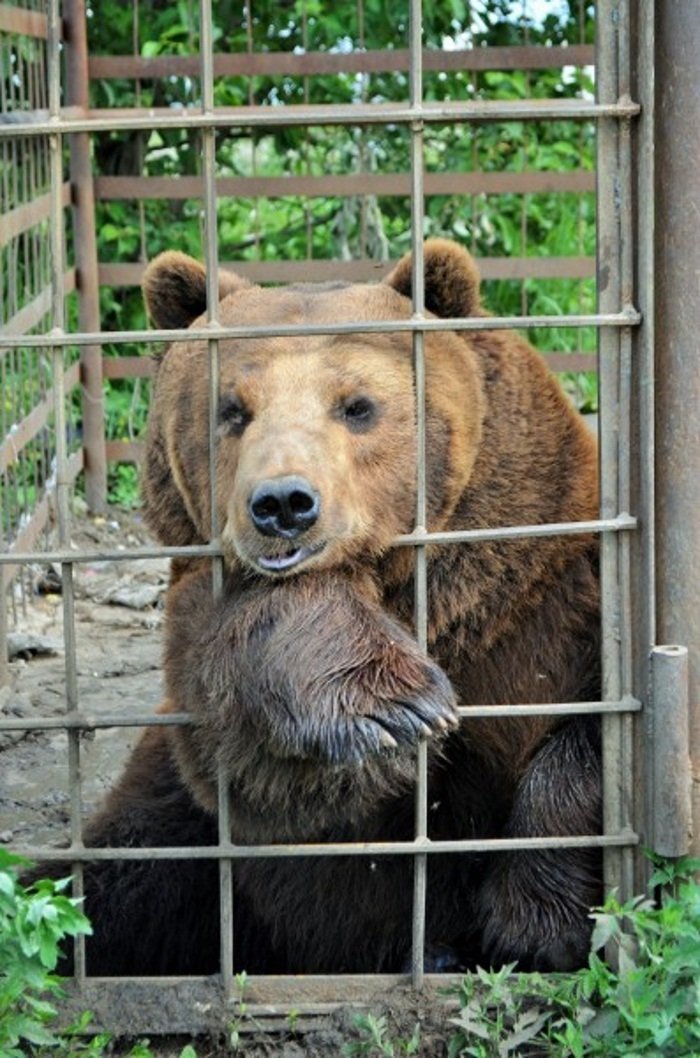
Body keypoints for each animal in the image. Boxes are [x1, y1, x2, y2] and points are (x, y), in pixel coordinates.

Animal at [58, 240, 604, 973]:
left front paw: (534, 921)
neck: (423, 598)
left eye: (357, 405)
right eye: (231, 408)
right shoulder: (201, 642)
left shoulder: (546, 594)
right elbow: (264, 771)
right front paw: (390, 708)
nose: (283, 503)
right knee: (111, 883)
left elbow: (591, 733)